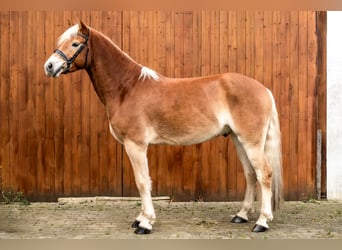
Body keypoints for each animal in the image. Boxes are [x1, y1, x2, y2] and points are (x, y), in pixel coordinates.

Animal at [44, 20, 282, 233]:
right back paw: (241, 215)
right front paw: (140, 219)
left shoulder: (136, 145)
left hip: (250, 141)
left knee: (264, 174)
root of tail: (264, 89)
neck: (127, 88)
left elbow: (142, 182)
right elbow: (142, 182)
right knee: (251, 174)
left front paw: (146, 223)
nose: (49, 66)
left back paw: (261, 222)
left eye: (75, 44)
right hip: (237, 138)